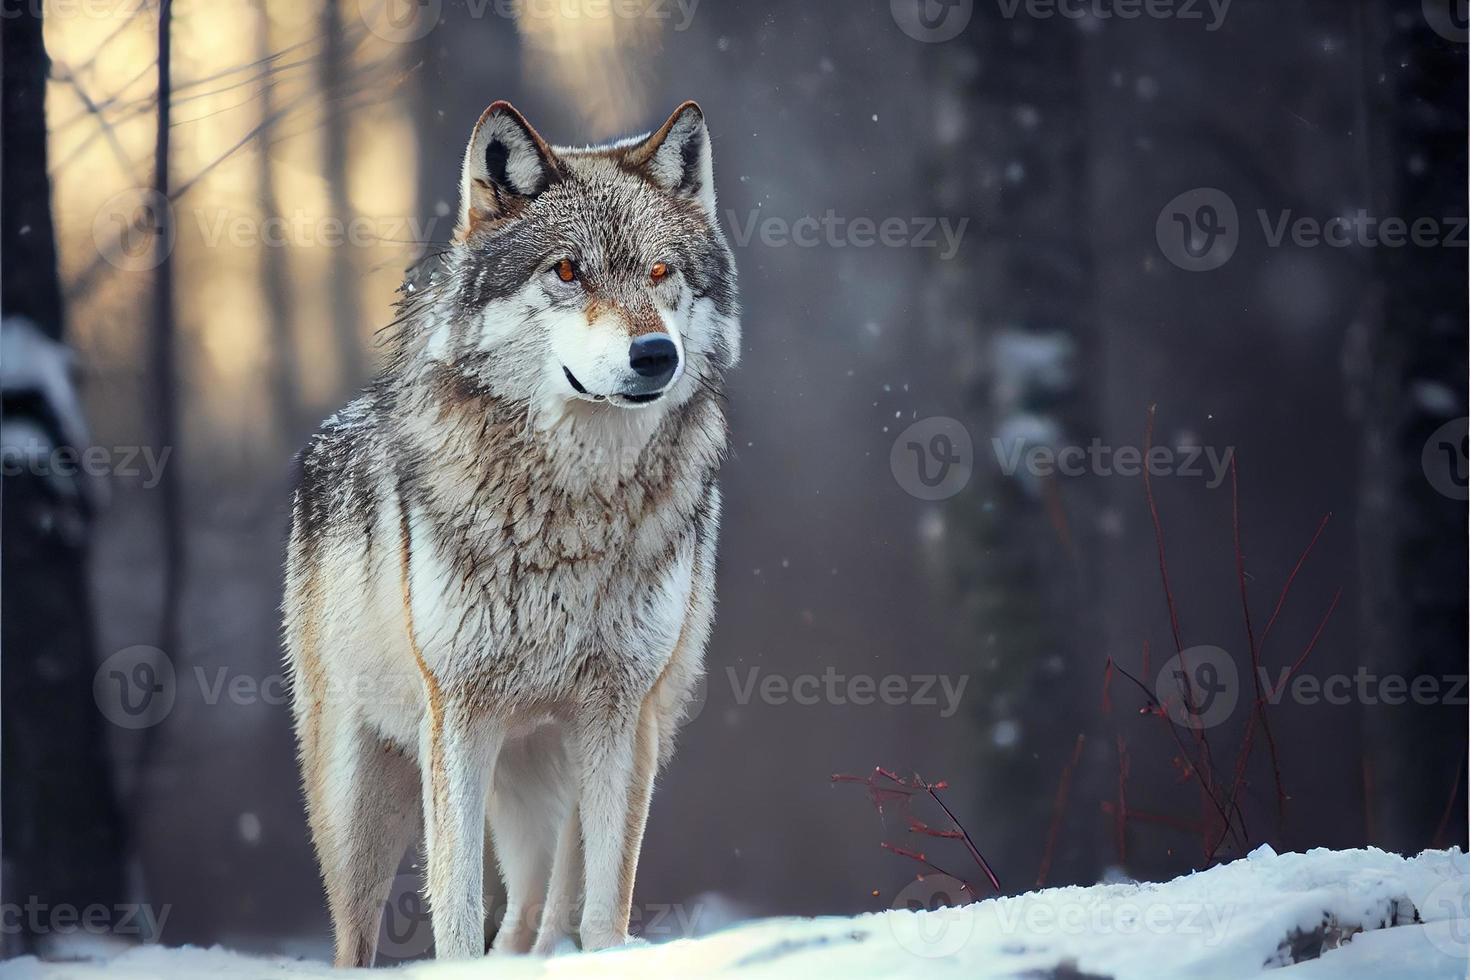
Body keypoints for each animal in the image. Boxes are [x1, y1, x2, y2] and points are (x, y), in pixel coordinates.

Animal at [282, 101, 740, 963]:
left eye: (661, 274)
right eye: (567, 271)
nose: (655, 354)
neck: (575, 504)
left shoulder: (618, 710)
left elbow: (605, 905)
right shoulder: (461, 715)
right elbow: (456, 906)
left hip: (566, 771)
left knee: (534, 909)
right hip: (362, 801)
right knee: (358, 935)